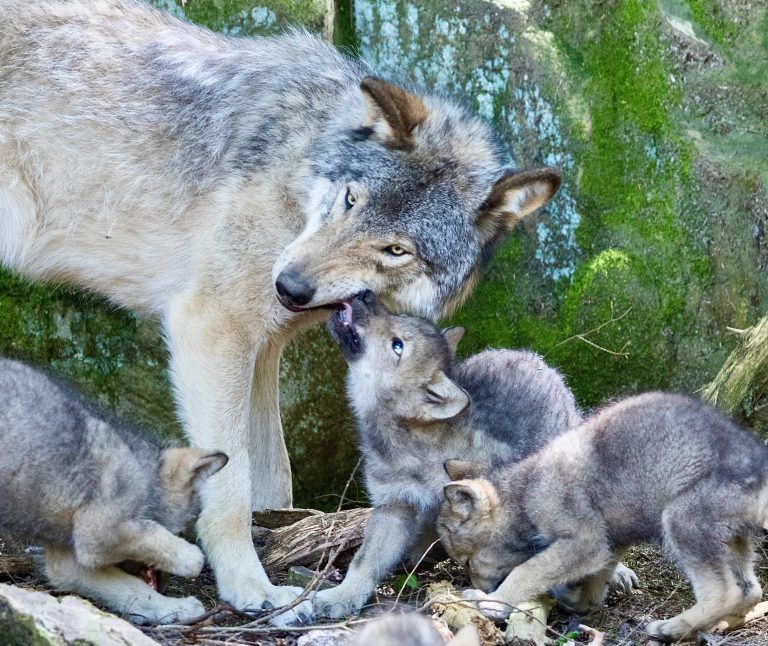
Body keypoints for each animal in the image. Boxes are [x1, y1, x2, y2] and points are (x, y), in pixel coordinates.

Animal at [0, 357, 228, 624]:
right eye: (180, 532)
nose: (164, 588)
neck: (145, 475)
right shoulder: (97, 534)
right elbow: (153, 535)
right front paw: (190, 558)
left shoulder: (69, 560)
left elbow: (130, 588)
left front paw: (173, 608)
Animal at [315, 292, 637, 618]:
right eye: (398, 317)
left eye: (398, 345)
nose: (365, 294)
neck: (409, 445)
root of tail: (528, 355)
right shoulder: (394, 506)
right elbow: (366, 560)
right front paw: (342, 596)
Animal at [438, 392, 768, 641]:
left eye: (466, 561)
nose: (481, 587)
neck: (525, 492)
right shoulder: (611, 541)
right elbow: (594, 584)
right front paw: (577, 599)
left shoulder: (586, 540)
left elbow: (526, 571)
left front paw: (490, 603)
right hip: (734, 541)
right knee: (750, 590)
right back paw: (710, 625)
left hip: (682, 522)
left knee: (724, 592)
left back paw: (671, 628)